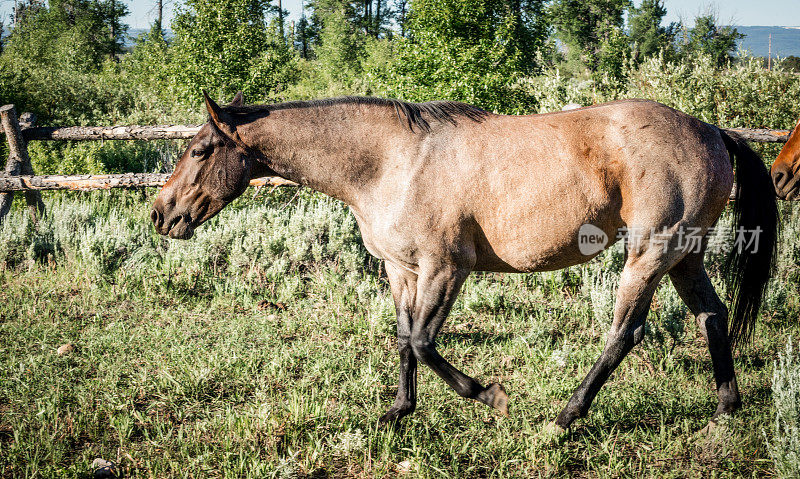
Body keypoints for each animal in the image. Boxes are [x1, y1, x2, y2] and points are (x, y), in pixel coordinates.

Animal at [153, 92, 780, 434]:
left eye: (200, 151)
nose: (161, 213)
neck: (389, 163)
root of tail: (712, 131)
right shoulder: (401, 271)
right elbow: (404, 340)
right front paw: (398, 411)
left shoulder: (446, 268)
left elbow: (425, 343)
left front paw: (490, 396)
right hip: (684, 256)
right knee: (713, 316)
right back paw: (725, 409)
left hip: (649, 255)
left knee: (625, 334)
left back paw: (565, 417)